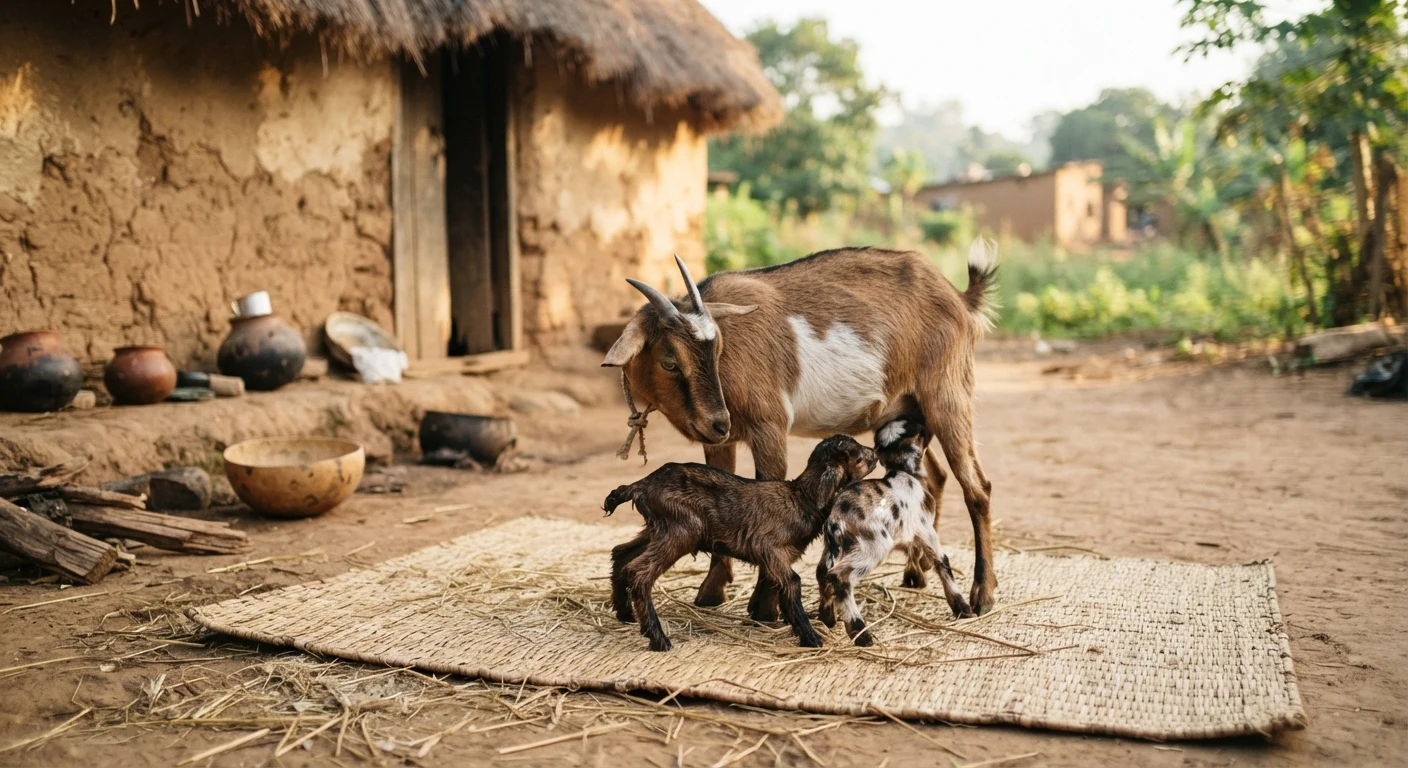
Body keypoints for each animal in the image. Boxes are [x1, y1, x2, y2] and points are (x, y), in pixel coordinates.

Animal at [601, 240, 999, 618]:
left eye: (717, 352)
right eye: (669, 361)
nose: (719, 422)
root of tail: (959, 298)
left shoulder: (769, 425)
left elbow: (765, 492)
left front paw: (765, 607)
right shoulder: (719, 440)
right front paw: (712, 592)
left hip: (949, 394)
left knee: (976, 486)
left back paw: (982, 595)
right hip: (911, 410)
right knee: (933, 477)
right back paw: (916, 573)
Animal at [603, 435, 878, 651]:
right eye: (858, 458)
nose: (875, 453)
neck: (801, 498)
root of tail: (641, 485)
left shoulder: (777, 558)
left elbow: (779, 588)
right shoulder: (769, 547)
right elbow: (792, 583)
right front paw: (811, 638)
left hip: (658, 528)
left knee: (621, 554)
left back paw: (625, 614)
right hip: (681, 529)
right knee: (639, 572)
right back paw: (658, 639)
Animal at [817, 417, 969, 646]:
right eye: (918, 428)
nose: (926, 420)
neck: (905, 473)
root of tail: (836, 520)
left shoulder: (910, 534)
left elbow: (914, 554)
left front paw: (915, 579)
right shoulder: (926, 530)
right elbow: (942, 562)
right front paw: (962, 607)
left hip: (834, 548)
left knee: (822, 572)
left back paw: (827, 617)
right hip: (873, 546)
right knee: (839, 577)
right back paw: (861, 633)